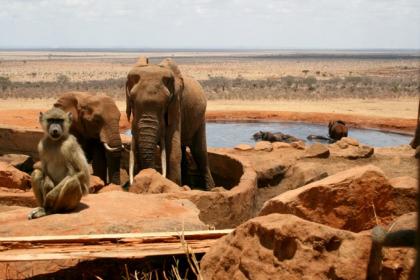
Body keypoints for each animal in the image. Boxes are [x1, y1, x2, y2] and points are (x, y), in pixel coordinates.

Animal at [125, 56, 215, 190]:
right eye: (132, 102)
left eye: (165, 104)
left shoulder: (176, 104)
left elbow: (173, 150)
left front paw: (173, 185)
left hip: (200, 119)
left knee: (200, 153)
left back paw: (210, 189)